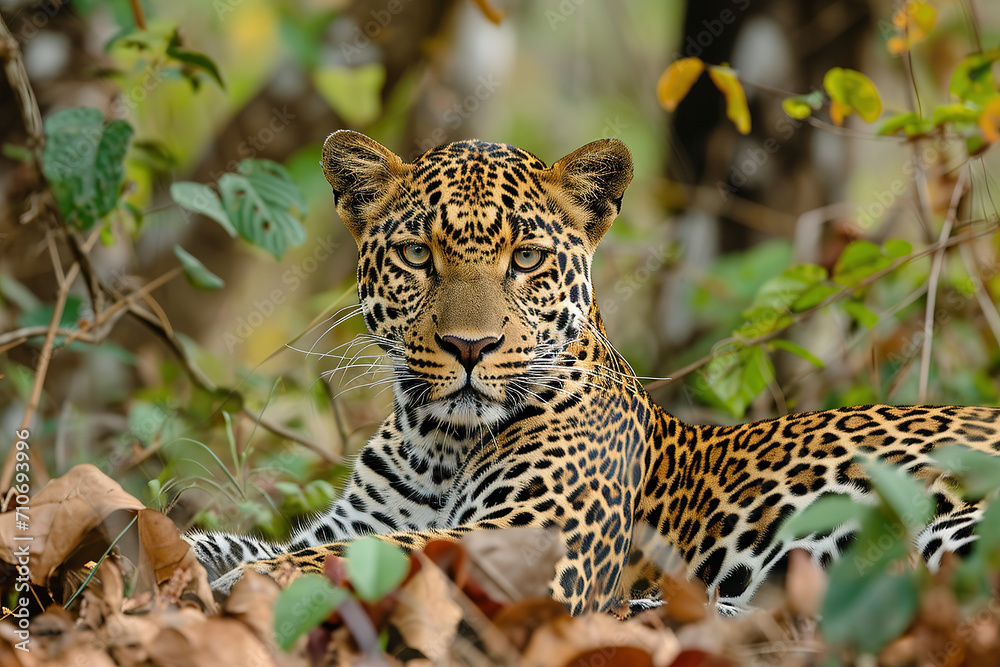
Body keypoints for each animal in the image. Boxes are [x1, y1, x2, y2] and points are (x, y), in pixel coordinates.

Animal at [188, 130, 1000, 616]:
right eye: (418, 255)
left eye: (525, 259)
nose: (469, 347)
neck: (441, 442)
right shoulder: (363, 517)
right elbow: (254, 541)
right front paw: (183, 559)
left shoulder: (527, 543)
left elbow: (358, 555)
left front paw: (243, 587)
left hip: (949, 529)